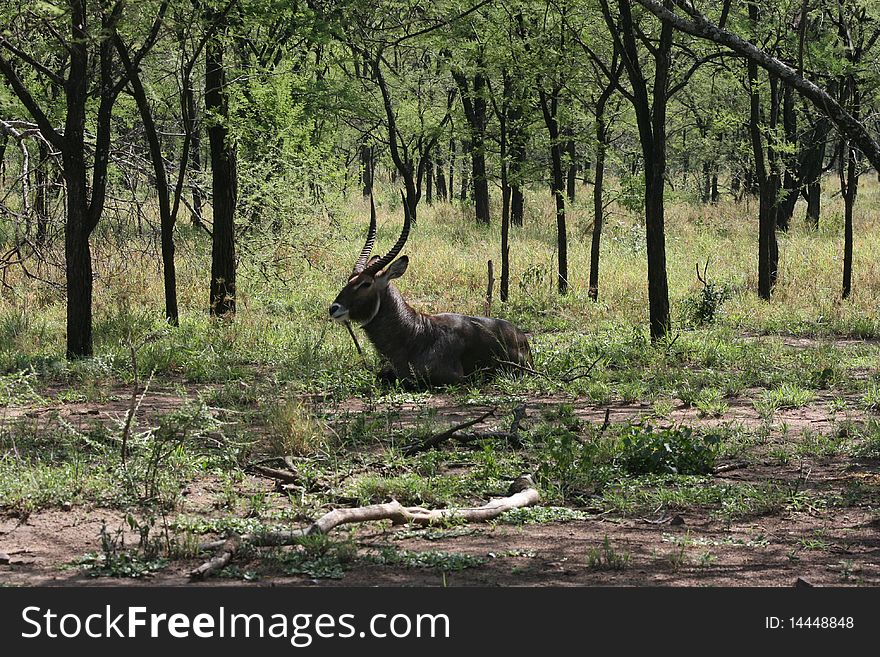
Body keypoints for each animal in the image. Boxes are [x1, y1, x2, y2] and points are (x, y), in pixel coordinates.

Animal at [330, 197, 532, 386]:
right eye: (349, 280)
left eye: (365, 284)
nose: (334, 308)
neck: (415, 332)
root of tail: (521, 336)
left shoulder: (452, 378)